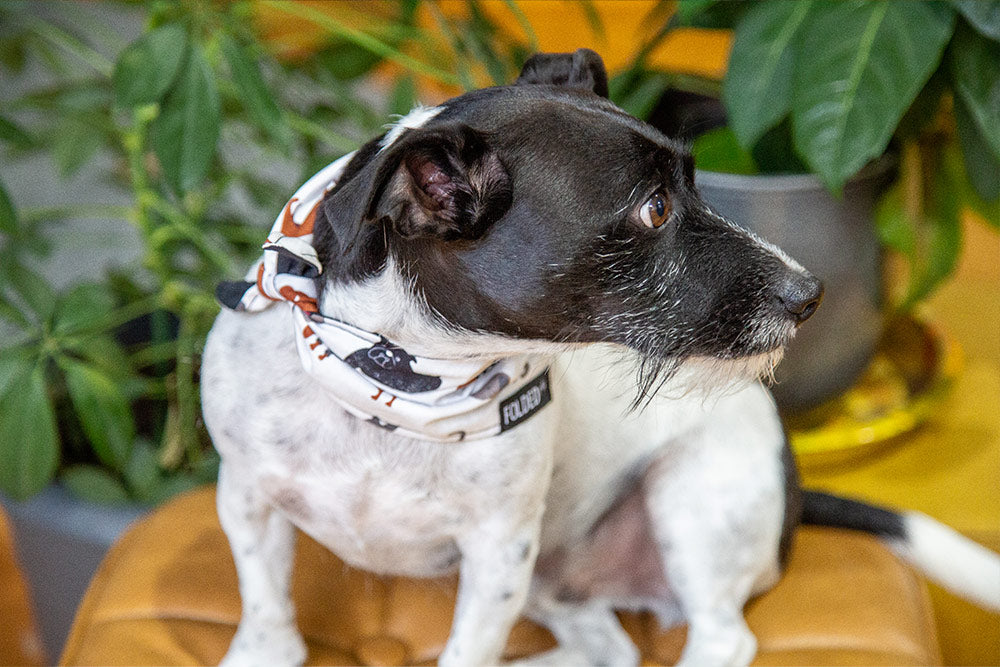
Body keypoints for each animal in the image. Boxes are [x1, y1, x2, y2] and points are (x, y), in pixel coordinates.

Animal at [205, 49, 1000, 664]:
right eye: (655, 207)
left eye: (694, 186)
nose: (811, 294)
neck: (394, 385)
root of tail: (795, 488)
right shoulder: (246, 499)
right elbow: (265, 607)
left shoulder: (497, 557)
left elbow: (468, 649)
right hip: (552, 579)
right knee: (612, 646)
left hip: (689, 502)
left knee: (722, 636)